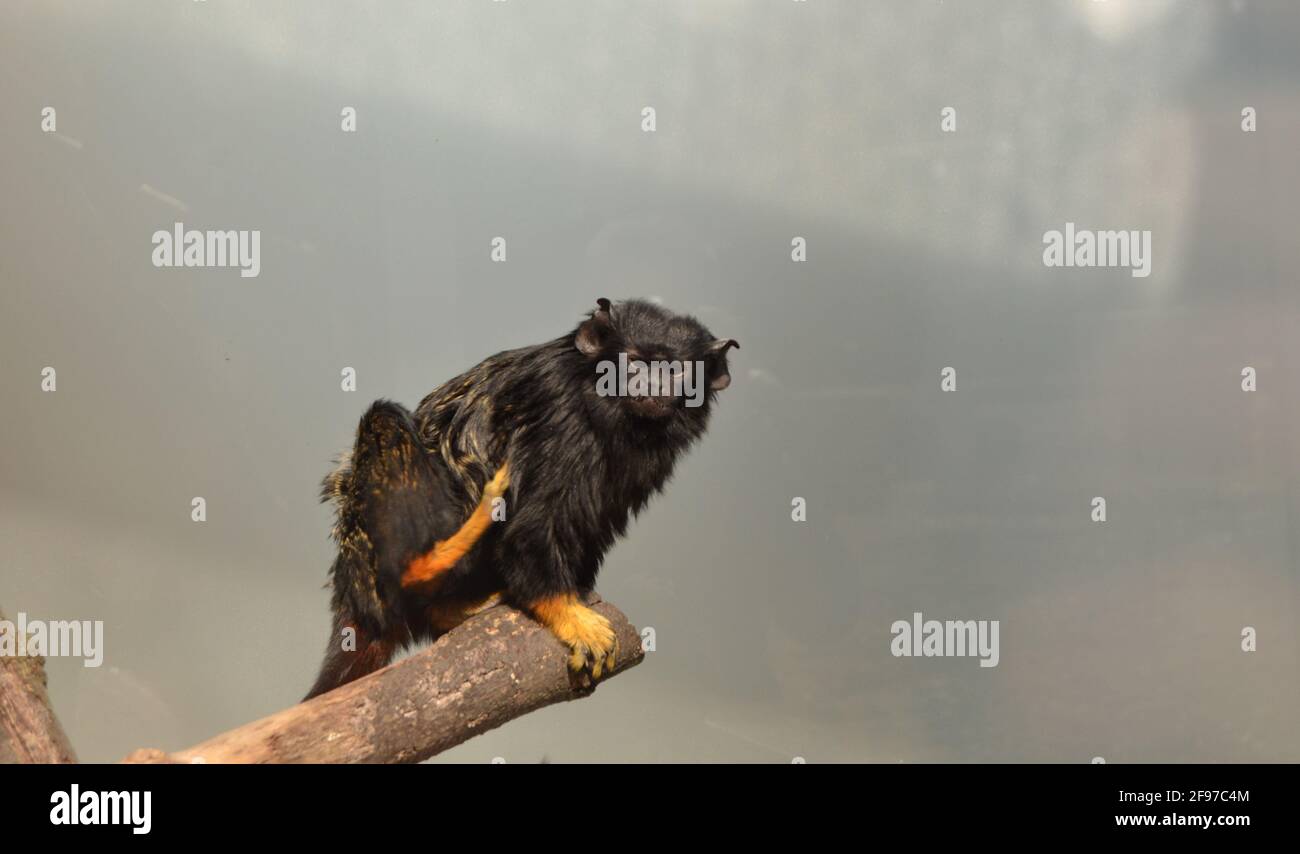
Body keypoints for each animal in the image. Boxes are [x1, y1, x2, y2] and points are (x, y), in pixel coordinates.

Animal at [304, 298, 737, 700]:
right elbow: (534, 526)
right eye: (633, 362)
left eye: (674, 370)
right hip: (373, 552)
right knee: (385, 418)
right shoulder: (560, 411)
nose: (651, 386)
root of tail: (353, 592)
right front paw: (565, 610)